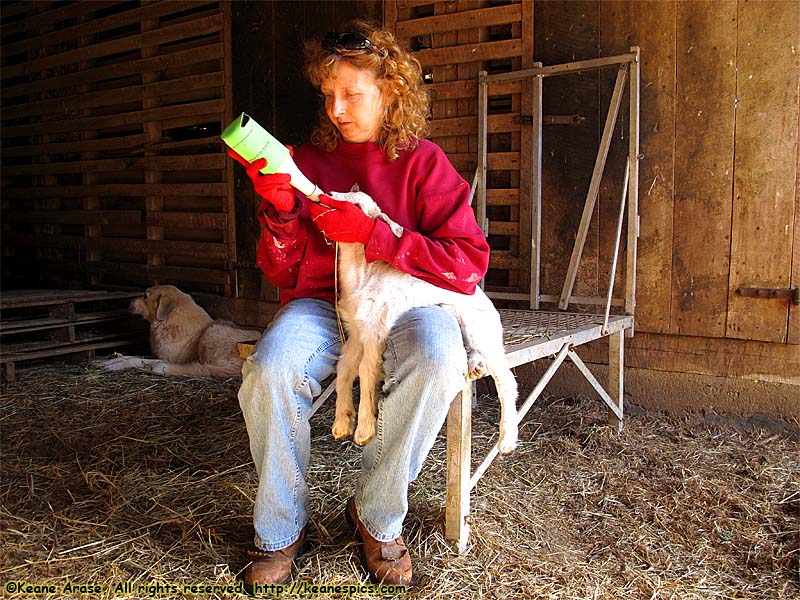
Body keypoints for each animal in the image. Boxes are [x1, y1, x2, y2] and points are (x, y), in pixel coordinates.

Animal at [99, 284, 262, 378]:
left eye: (145, 296)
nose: (129, 302)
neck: (169, 323)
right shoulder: (157, 354)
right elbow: (129, 356)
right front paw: (110, 361)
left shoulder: (168, 358)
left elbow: (135, 359)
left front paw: (115, 365)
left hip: (212, 332)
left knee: (205, 369)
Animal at [326, 188, 520, 454]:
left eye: (356, 206)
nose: (329, 195)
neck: (363, 275)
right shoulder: (357, 332)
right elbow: (344, 369)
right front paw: (342, 424)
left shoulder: (376, 330)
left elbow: (365, 371)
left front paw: (364, 430)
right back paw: (475, 366)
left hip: (480, 331)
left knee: (506, 380)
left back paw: (507, 441)